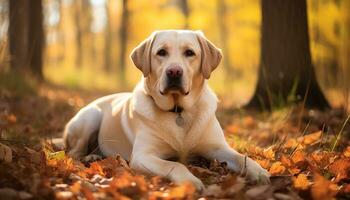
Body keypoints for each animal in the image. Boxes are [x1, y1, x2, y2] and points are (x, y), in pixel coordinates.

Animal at [63, 29, 270, 189]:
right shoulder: (143, 156)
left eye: (189, 53)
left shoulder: (218, 147)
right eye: (161, 52)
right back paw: (89, 157)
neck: (179, 111)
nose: (174, 72)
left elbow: (243, 157)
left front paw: (259, 171)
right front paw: (190, 181)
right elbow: (176, 165)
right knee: (73, 152)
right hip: (91, 116)